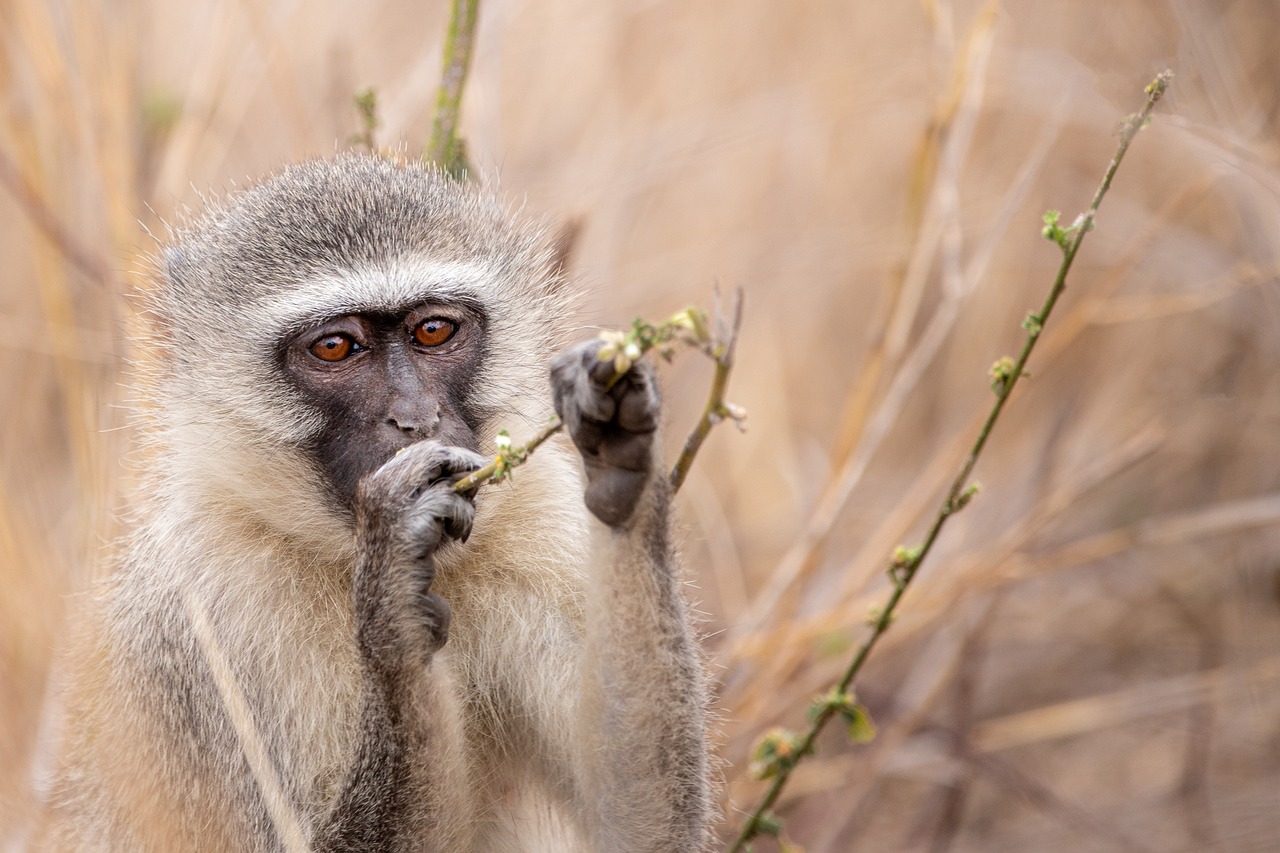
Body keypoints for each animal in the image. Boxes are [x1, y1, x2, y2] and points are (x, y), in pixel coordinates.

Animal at [42, 156, 711, 845]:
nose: (416, 417)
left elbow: (639, 828)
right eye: (336, 347)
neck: (340, 552)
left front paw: (621, 454)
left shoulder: (541, 522)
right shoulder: (199, 611)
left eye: (433, 331)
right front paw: (393, 611)